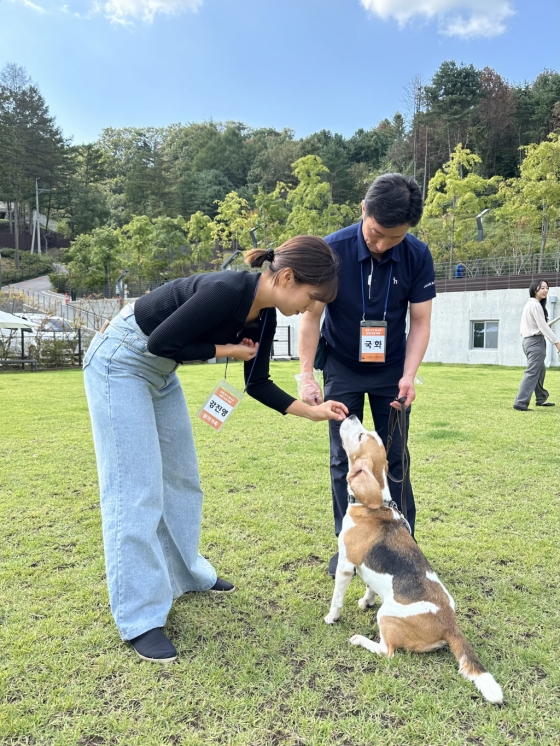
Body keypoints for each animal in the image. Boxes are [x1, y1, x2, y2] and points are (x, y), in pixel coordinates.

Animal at [324, 416, 504, 700]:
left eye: (362, 436)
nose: (351, 416)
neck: (373, 506)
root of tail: (450, 625)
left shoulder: (345, 566)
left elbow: (336, 599)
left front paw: (332, 617)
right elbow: (370, 586)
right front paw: (366, 600)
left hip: (385, 617)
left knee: (387, 652)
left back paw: (360, 640)